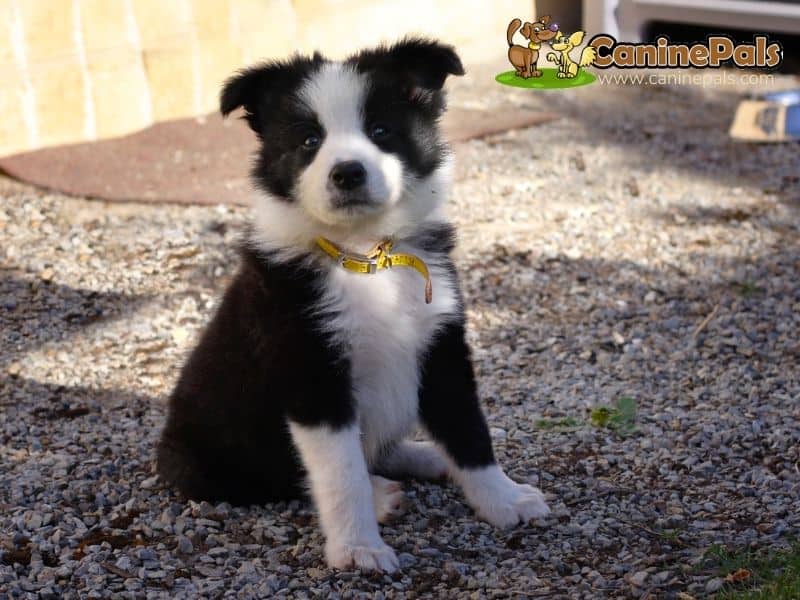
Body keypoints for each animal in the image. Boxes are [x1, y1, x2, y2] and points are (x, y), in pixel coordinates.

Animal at [155, 37, 552, 572]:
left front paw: (503, 499)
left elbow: (469, 431)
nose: (347, 172)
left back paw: (424, 457)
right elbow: (341, 474)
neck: (365, 256)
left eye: (381, 130)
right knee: (282, 478)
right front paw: (358, 547)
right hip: (208, 458)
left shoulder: (442, 343)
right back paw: (382, 494)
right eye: (308, 141)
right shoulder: (312, 369)